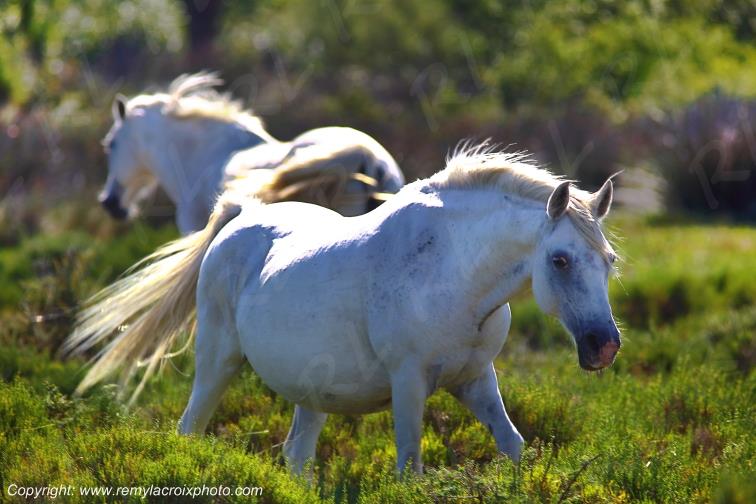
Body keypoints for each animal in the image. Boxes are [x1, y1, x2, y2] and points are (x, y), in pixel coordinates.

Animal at [65, 143, 621, 474]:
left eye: (609, 261)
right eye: (560, 259)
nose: (605, 346)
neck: (453, 270)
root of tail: (243, 215)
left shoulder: (475, 378)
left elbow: (513, 445)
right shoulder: (408, 382)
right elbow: (410, 467)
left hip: (310, 391)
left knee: (296, 455)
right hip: (217, 362)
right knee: (190, 429)